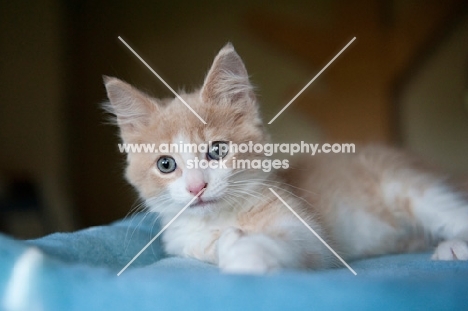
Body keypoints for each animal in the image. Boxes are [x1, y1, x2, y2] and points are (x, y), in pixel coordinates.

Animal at [105, 43, 468, 272]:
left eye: (218, 150)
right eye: (166, 164)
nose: (197, 187)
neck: (219, 218)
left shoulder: (306, 229)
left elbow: (287, 243)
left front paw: (248, 255)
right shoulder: (186, 242)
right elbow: (211, 245)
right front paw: (228, 243)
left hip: (407, 184)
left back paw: (455, 246)